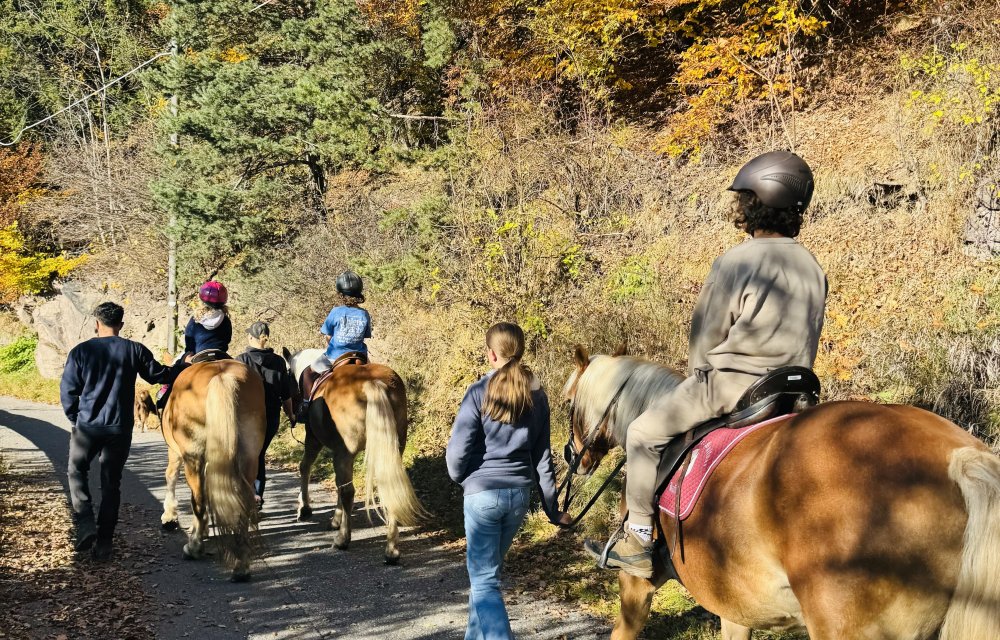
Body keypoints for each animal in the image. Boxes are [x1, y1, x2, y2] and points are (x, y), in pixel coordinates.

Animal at [159, 360, 266, 582]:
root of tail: (221, 375)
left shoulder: (175, 453)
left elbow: (171, 476)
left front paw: (170, 516)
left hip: (193, 458)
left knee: (198, 500)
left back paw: (194, 547)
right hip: (249, 458)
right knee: (243, 500)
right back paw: (241, 565)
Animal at [283, 348, 424, 564]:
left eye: (288, 378)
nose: (292, 414)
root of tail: (373, 383)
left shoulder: (314, 439)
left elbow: (306, 467)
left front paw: (304, 509)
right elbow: (338, 483)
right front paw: (335, 519)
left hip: (344, 452)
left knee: (348, 491)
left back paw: (342, 539)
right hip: (393, 447)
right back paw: (391, 550)